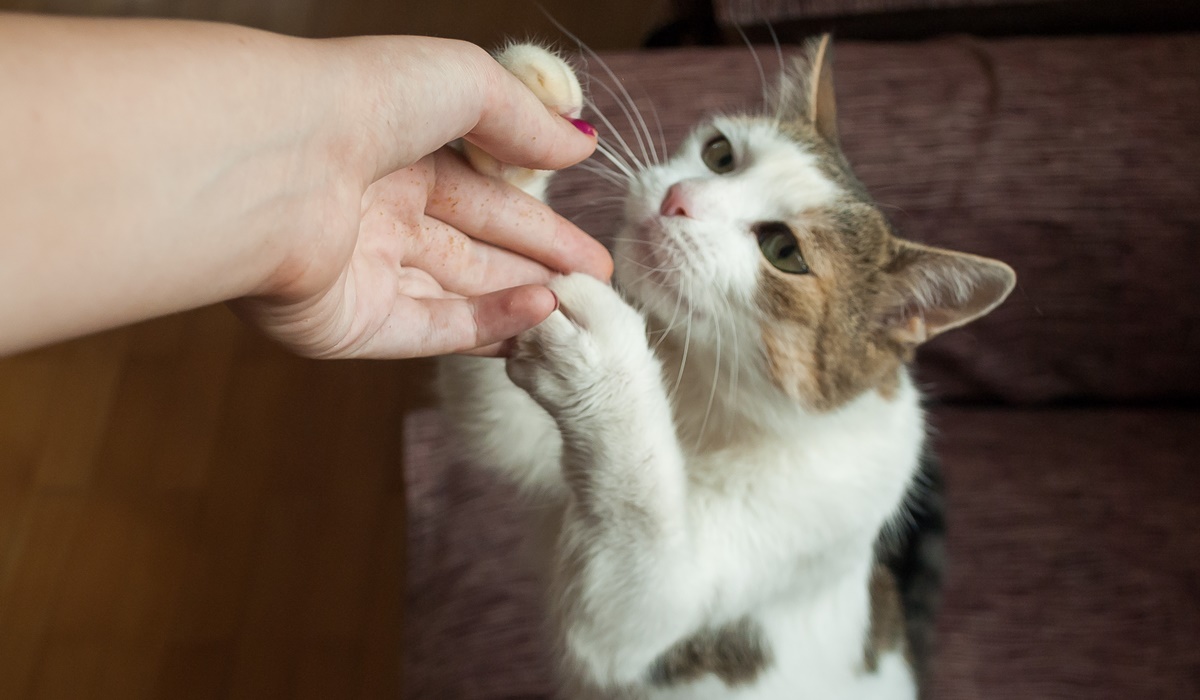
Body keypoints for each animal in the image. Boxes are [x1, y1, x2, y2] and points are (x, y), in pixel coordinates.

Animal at [436, 38, 1017, 700]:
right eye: (720, 154)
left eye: (784, 251)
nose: (678, 199)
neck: (701, 390)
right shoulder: (529, 446)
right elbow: (496, 407)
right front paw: (517, 143)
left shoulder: (683, 594)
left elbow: (630, 573)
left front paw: (609, 359)